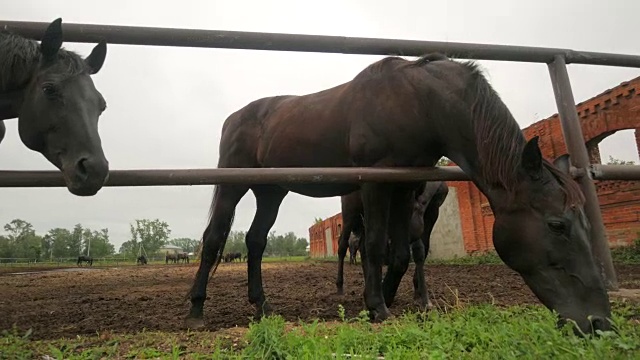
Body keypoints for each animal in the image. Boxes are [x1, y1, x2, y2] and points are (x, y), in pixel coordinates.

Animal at [185, 53, 608, 338]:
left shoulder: (404, 188)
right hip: (233, 185)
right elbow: (374, 245)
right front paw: (377, 307)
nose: (599, 322)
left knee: (256, 241)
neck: (420, 104)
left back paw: (262, 305)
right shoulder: (376, 183)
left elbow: (402, 254)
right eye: (557, 225)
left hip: (271, 191)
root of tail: (235, 117)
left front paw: (386, 298)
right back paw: (196, 309)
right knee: (214, 239)